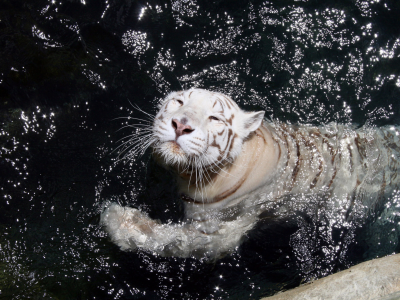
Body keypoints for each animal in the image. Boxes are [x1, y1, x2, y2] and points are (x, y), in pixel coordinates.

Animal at [101, 88, 400, 258]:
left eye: (215, 118)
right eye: (178, 102)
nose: (181, 124)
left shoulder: (223, 231)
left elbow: (172, 240)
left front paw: (118, 221)